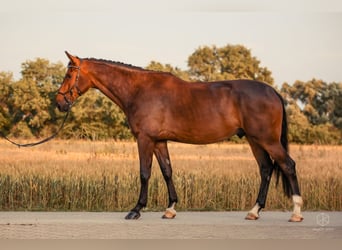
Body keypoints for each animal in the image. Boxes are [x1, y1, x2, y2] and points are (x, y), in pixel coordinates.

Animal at [56, 51, 304, 222]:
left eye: (69, 74)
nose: (59, 103)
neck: (139, 90)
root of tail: (273, 91)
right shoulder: (159, 141)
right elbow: (167, 171)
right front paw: (170, 209)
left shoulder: (145, 139)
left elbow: (144, 173)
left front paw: (136, 210)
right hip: (255, 141)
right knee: (266, 169)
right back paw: (254, 211)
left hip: (267, 140)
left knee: (288, 165)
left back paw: (296, 212)